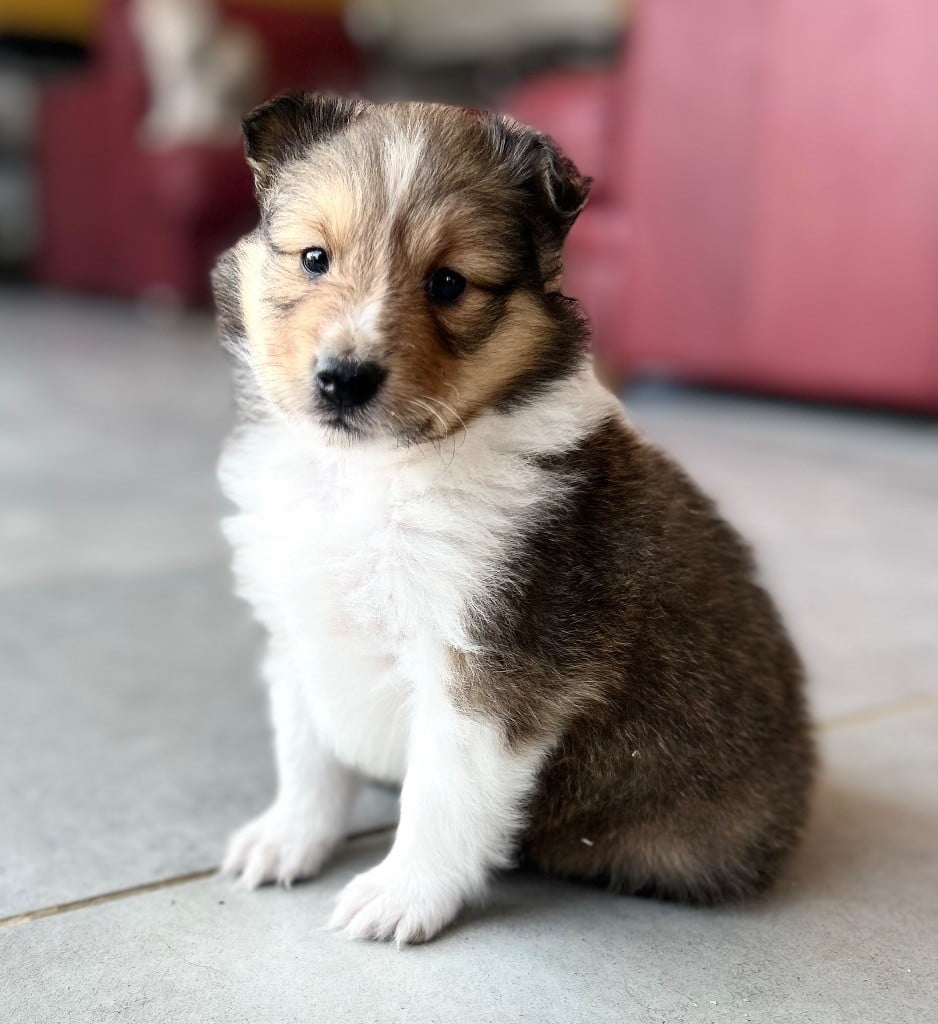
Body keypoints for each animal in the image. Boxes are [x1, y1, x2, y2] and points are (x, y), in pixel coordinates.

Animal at [212, 94, 815, 942]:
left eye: (449, 282)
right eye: (314, 258)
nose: (343, 379)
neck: (376, 474)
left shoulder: (495, 664)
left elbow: (440, 792)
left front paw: (399, 897)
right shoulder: (298, 624)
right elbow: (307, 752)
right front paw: (284, 840)